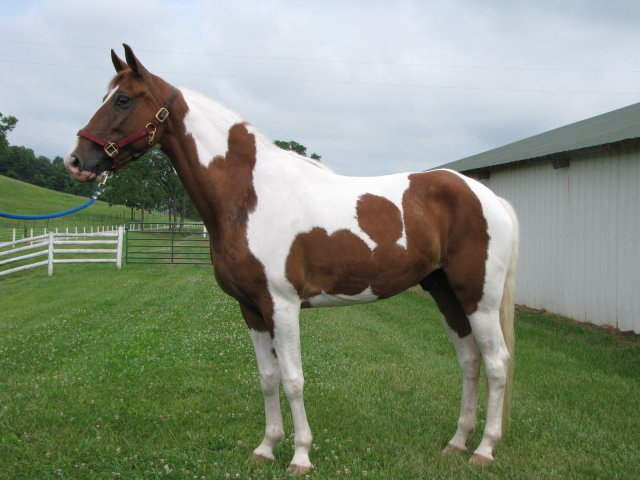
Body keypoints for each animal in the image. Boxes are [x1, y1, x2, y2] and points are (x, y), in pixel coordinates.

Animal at [63, 44, 520, 472]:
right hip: (445, 292)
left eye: (123, 99)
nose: (77, 160)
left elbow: (293, 378)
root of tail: (489, 197)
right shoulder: (250, 308)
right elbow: (268, 378)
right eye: (107, 96)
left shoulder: (281, 305)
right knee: (469, 361)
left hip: (478, 298)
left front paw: (301, 455)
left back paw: (484, 449)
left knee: (497, 363)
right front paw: (266, 447)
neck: (248, 195)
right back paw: (457, 443)